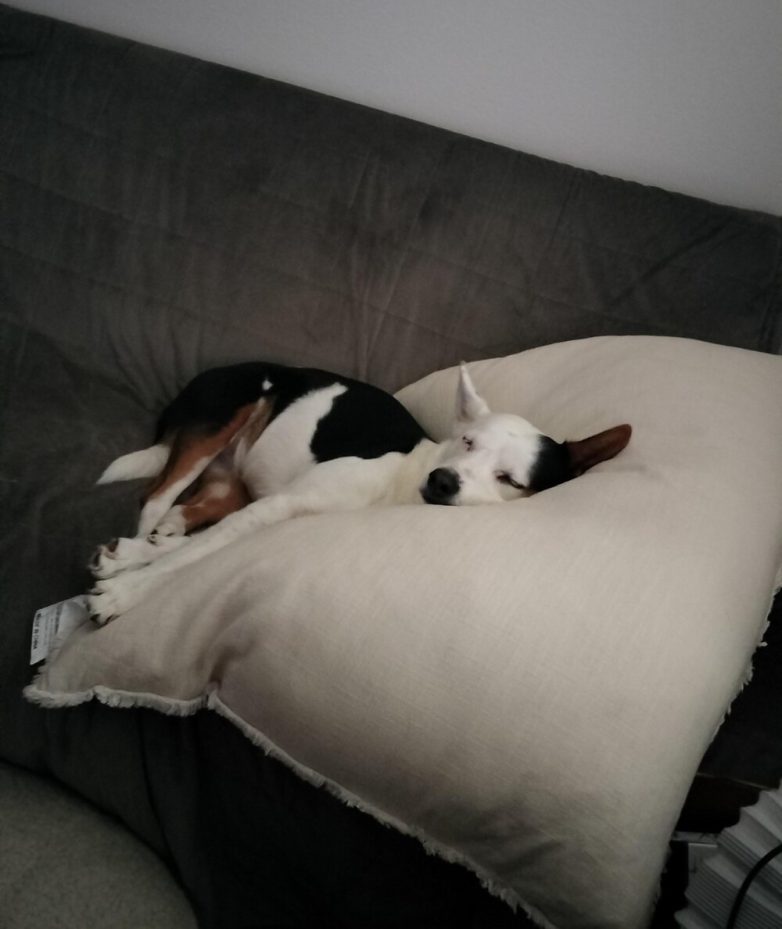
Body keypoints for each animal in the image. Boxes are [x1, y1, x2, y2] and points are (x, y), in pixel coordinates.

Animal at [87, 361, 631, 624]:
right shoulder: (280, 505)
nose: (443, 480)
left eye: (511, 480)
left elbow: (193, 549)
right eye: (467, 441)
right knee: (156, 495)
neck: (398, 487)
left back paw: (157, 534)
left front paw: (132, 565)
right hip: (219, 422)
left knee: (196, 508)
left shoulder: (272, 513)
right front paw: (125, 590)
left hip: (231, 473)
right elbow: (186, 558)